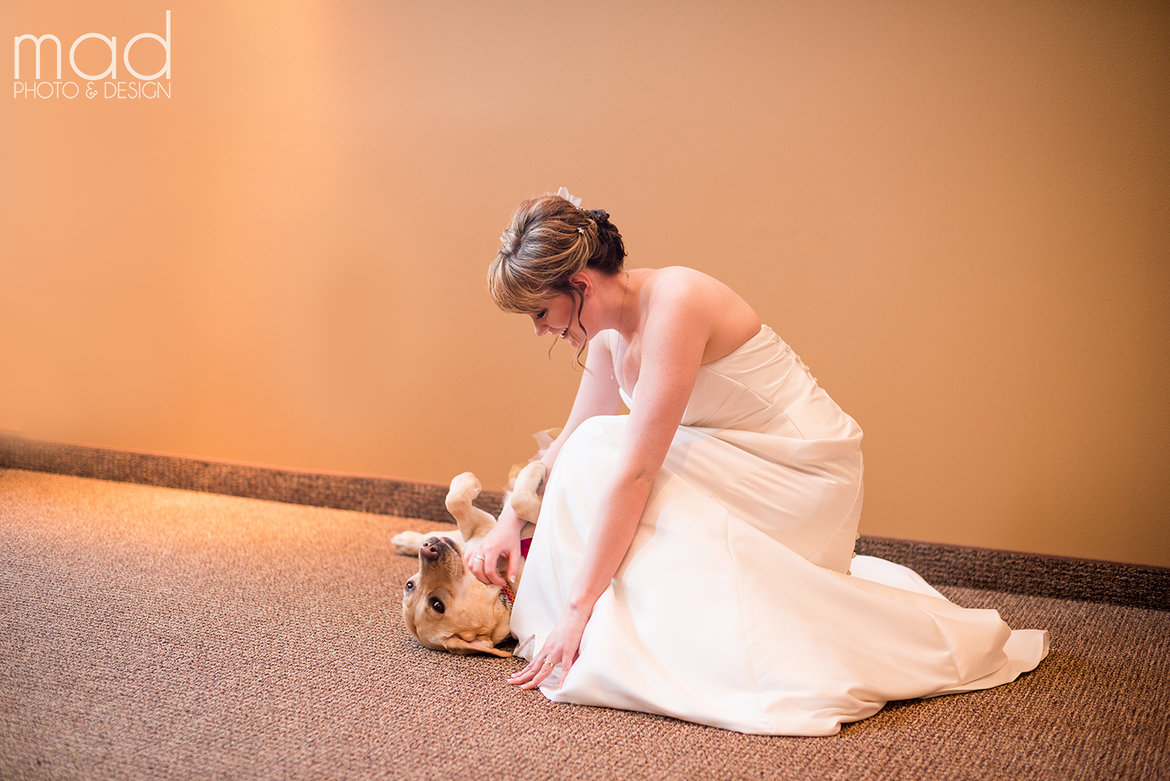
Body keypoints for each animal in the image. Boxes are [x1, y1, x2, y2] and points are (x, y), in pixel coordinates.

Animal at [388, 462, 542, 659]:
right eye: (437, 605)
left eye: (409, 585)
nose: (429, 549)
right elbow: (521, 503)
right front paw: (535, 468)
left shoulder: (482, 529)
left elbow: (455, 502)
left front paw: (467, 480)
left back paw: (406, 540)